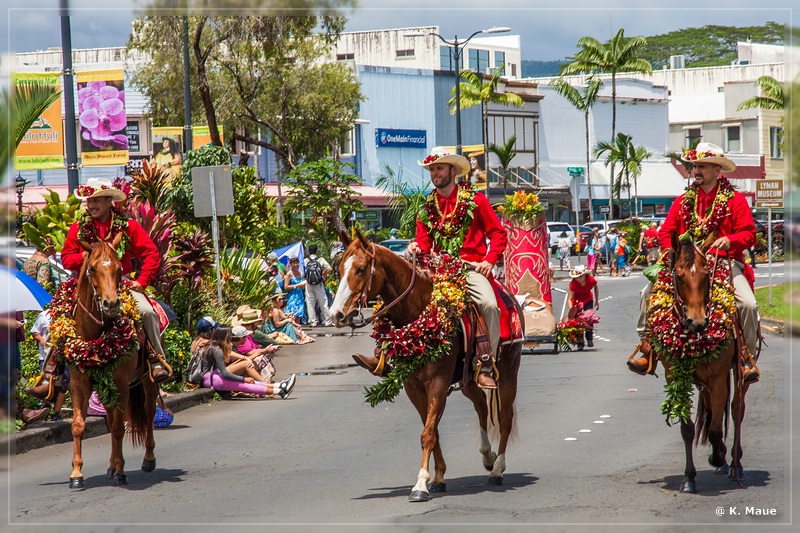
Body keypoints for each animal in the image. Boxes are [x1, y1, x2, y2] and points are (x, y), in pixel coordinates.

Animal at [68, 231, 159, 488]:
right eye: (92, 268)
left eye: (119, 268)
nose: (111, 303)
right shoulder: (79, 383)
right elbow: (78, 425)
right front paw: (76, 474)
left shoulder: (121, 383)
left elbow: (119, 427)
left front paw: (121, 471)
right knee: (109, 417)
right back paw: (110, 465)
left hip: (146, 379)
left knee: (149, 412)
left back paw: (147, 459)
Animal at [328, 231, 520, 500]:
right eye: (338, 270)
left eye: (361, 269)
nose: (336, 315)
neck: (418, 311)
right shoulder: (413, 386)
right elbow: (433, 431)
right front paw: (437, 477)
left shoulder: (437, 383)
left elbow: (428, 433)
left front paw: (420, 484)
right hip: (468, 380)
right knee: (482, 405)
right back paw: (487, 456)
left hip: (509, 372)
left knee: (505, 419)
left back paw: (498, 469)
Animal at [656, 235, 752, 492]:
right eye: (678, 276)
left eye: (707, 274)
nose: (697, 322)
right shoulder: (676, 377)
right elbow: (688, 429)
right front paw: (689, 478)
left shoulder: (718, 378)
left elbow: (717, 430)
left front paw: (717, 457)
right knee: (711, 411)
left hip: (738, 373)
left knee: (737, 410)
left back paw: (735, 463)